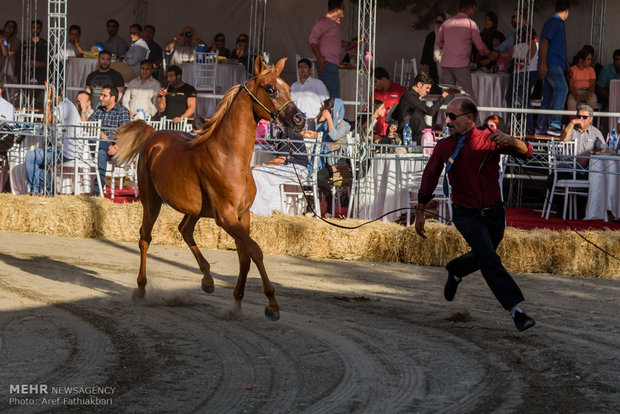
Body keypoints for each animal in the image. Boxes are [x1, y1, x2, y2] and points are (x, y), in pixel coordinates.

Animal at [114, 56, 306, 320]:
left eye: (287, 86)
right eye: (270, 89)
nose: (300, 119)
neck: (230, 156)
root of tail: (153, 134)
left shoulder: (242, 215)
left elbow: (245, 256)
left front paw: (237, 302)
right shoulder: (225, 217)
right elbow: (255, 251)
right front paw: (272, 305)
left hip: (194, 210)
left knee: (184, 230)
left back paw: (207, 279)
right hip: (151, 201)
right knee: (145, 237)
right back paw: (141, 289)